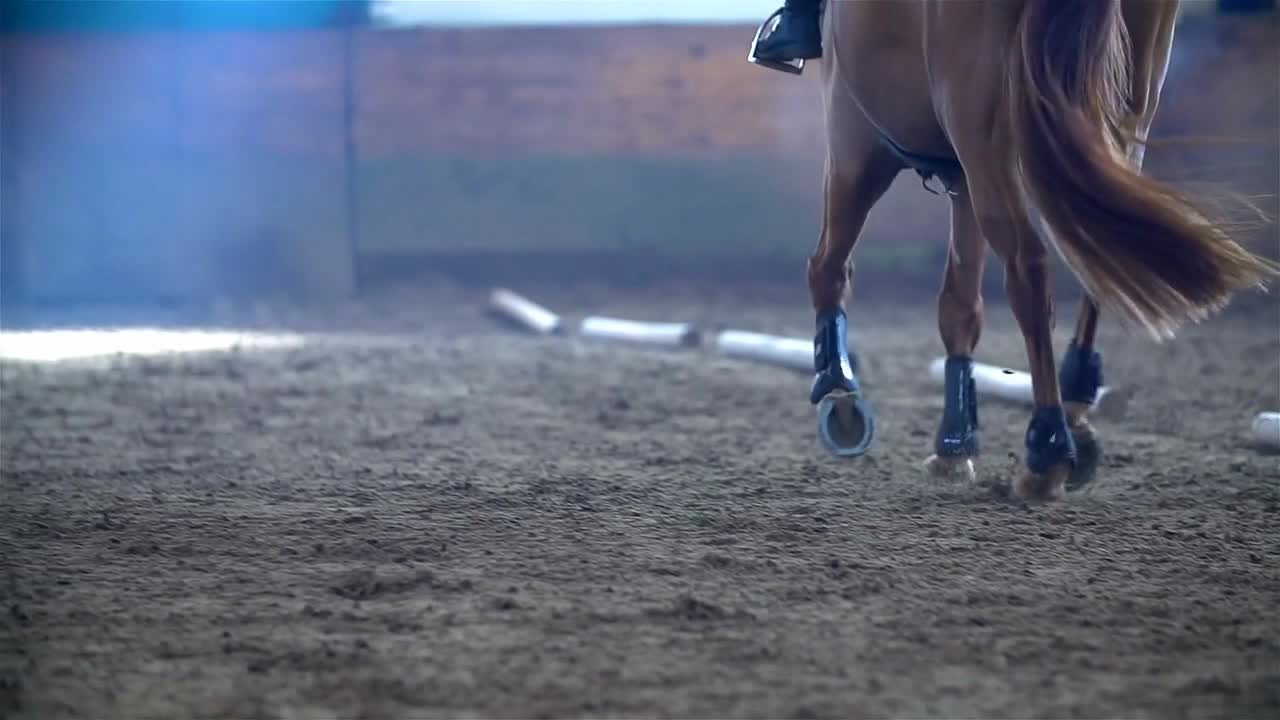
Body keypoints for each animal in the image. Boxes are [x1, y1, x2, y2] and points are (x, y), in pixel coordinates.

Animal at [803, 0, 1274, 497]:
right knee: (1098, 252)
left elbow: (829, 266)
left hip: (977, 130)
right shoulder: (959, 173)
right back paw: (1075, 409)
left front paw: (840, 395)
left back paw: (1047, 451)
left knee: (1029, 268)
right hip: (1122, 105)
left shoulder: (856, 136)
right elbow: (960, 306)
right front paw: (955, 444)